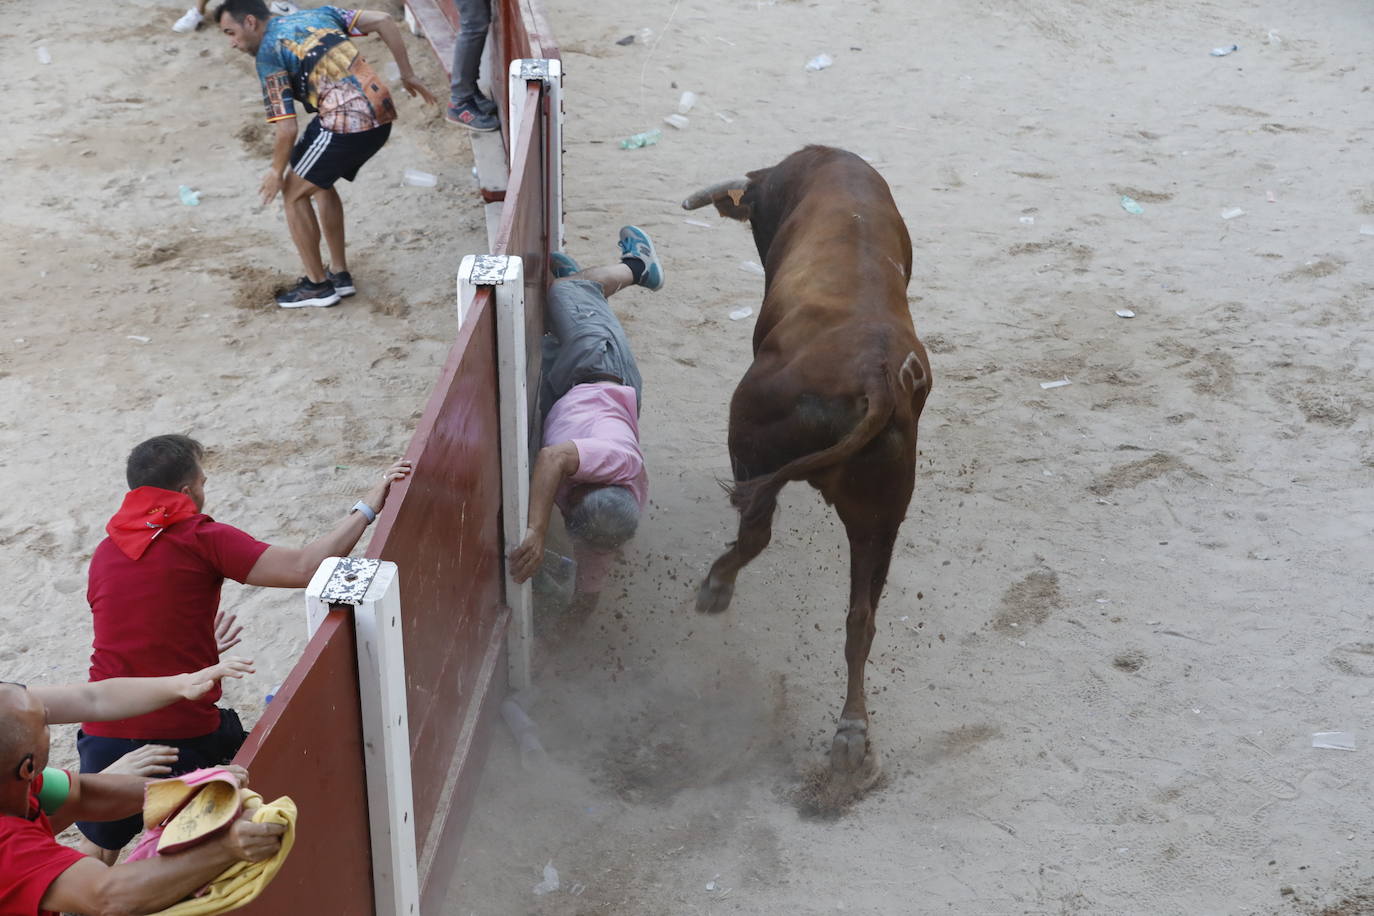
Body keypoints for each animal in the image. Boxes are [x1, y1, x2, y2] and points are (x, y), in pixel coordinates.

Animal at [687, 149, 934, 774]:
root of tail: (878, 382)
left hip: (747, 433)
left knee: (756, 533)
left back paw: (716, 586)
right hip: (880, 520)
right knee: (861, 618)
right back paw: (851, 733)